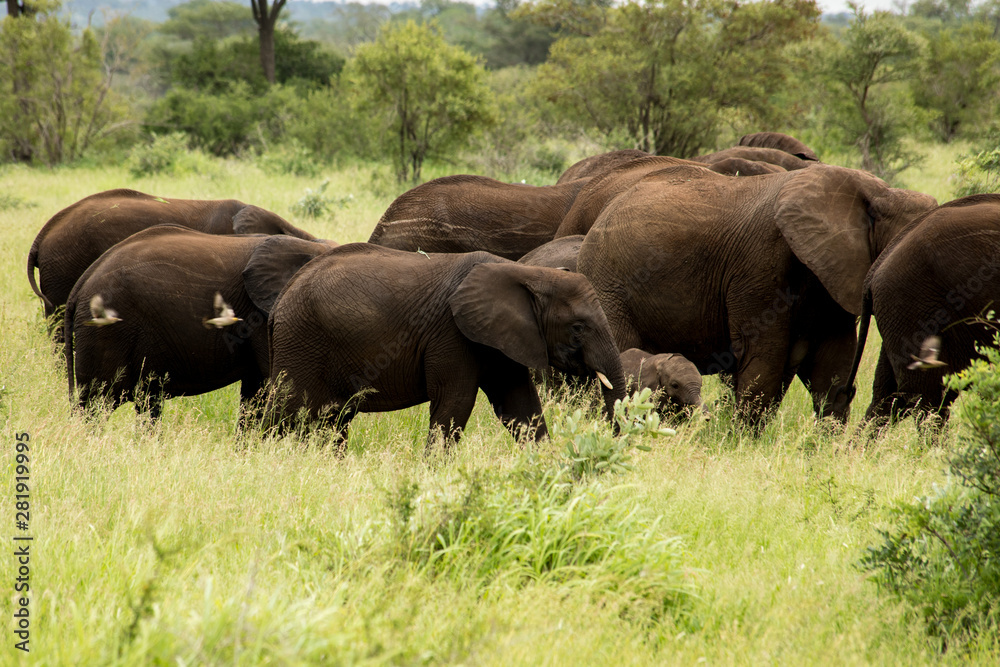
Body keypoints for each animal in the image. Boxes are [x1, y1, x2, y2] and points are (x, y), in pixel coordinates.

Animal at [65, 226, 334, 420]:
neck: (310, 245)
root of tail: (82, 282)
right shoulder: (260, 317)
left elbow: (255, 392)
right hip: (107, 333)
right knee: (97, 403)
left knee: (147, 401)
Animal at [264, 243, 626, 446]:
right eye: (578, 328)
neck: (527, 272)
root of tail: (281, 300)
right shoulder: (452, 334)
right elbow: (455, 404)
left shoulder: (502, 337)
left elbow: (520, 405)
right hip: (301, 342)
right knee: (287, 413)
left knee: (331, 421)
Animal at [578, 163, 937, 426]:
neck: (878, 193)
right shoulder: (760, 265)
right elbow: (763, 357)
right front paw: (743, 442)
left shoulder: (831, 272)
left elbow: (832, 359)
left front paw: (826, 448)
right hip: (609, 284)